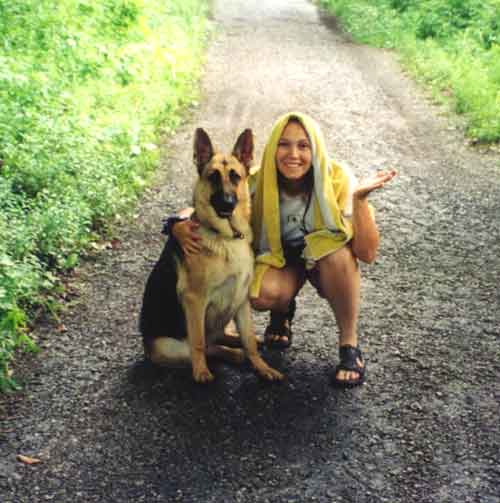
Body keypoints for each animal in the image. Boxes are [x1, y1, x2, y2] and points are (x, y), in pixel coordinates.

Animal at [139, 128, 284, 384]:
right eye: (213, 176)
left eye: (235, 176)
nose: (227, 203)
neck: (226, 237)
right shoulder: (195, 300)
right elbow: (197, 342)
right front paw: (201, 373)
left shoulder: (242, 299)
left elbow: (248, 339)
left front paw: (262, 367)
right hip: (171, 346)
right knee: (204, 347)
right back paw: (230, 354)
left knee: (223, 338)